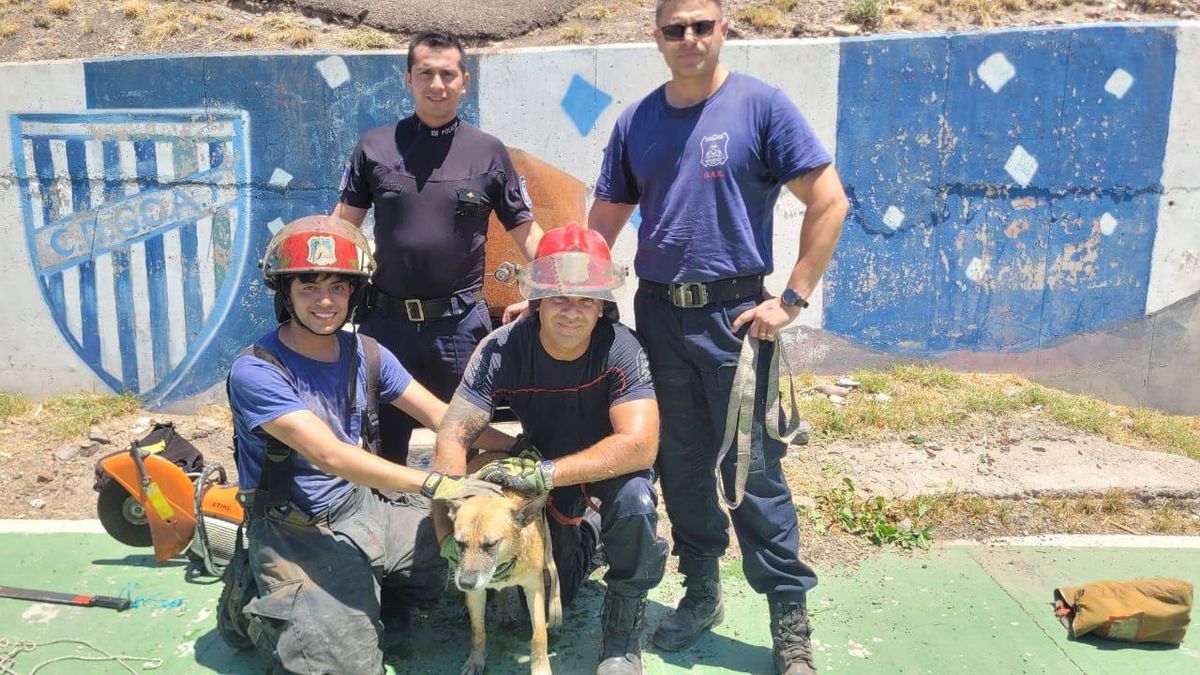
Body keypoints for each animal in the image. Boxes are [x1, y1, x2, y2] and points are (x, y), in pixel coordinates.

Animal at [451, 451, 561, 672]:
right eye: (459, 542)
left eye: (491, 544)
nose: (465, 583)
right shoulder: (476, 594)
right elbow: (478, 631)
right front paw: (476, 661)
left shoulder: (534, 588)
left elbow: (539, 636)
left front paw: (541, 669)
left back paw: (504, 611)